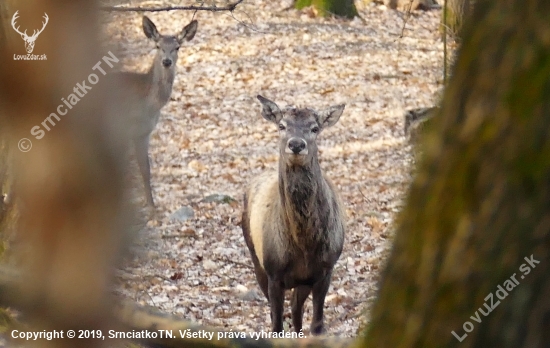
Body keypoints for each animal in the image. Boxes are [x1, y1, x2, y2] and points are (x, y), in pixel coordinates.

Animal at [117, 16, 199, 208]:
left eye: (177, 47)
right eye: (157, 45)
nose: (166, 61)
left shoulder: (144, 132)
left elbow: (145, 169)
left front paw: (152, 205)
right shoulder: (128, 130)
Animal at [243, 95, 348, 334]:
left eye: (315, 128)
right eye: (281, 125)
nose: (297, 144)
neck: (304, 247)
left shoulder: (325, 270)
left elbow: (317, 325)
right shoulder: (273, 273)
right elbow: (276, 325)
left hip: (301, 282)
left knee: (296, 310)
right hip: (254, 255)